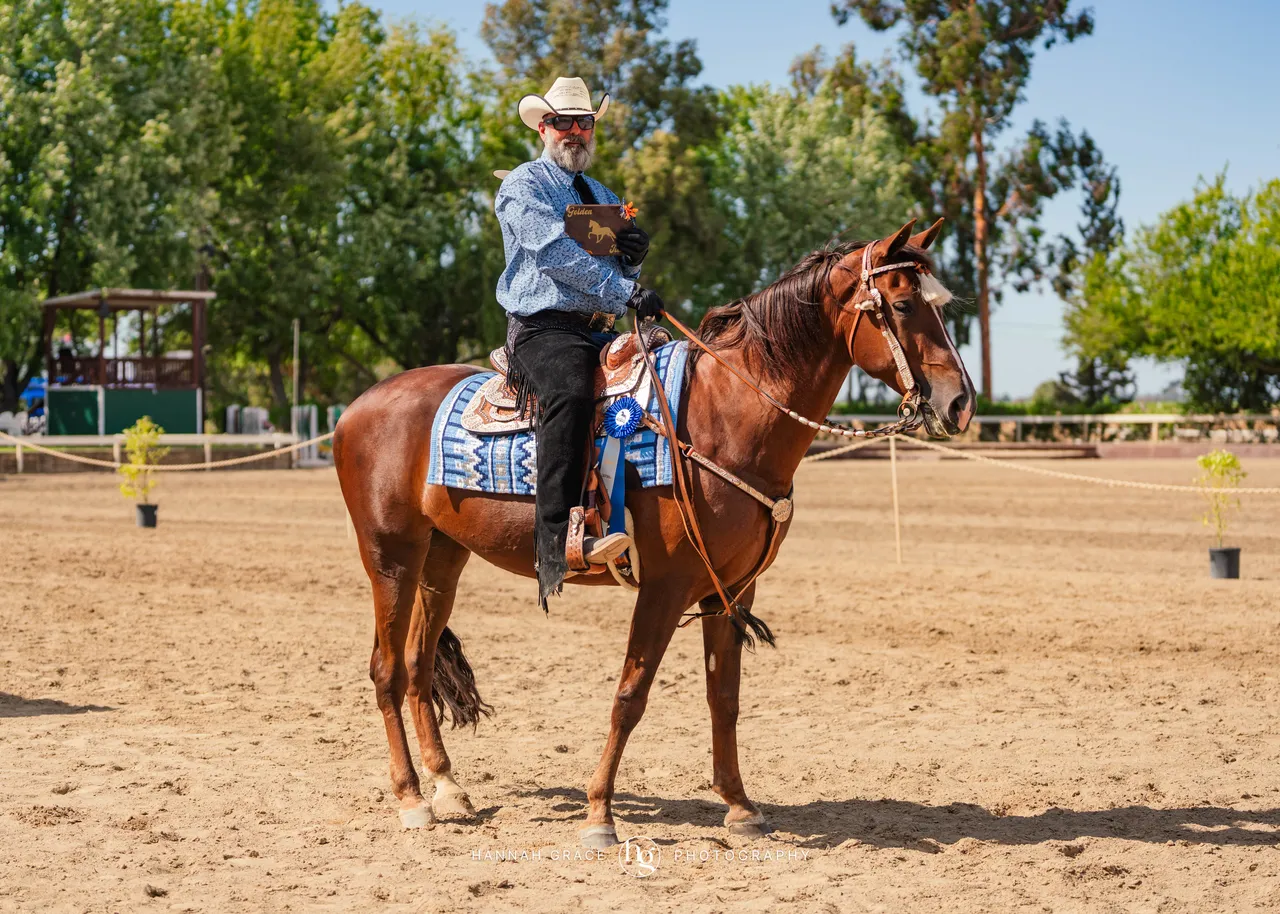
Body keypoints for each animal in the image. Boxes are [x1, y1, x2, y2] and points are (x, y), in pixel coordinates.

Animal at [332, 218, 975, 846]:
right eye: (903, 304)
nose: (961, 403)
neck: (725, 415)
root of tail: (357, 407)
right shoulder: (665, 587)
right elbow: (630, 696)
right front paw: (599, 813)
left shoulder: (731, 591)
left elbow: (724, 698)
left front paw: (739, 807)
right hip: (390, 556)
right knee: (386, 670)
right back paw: (412, 800)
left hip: (442, 559)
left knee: (418, 666)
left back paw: (447, 786)